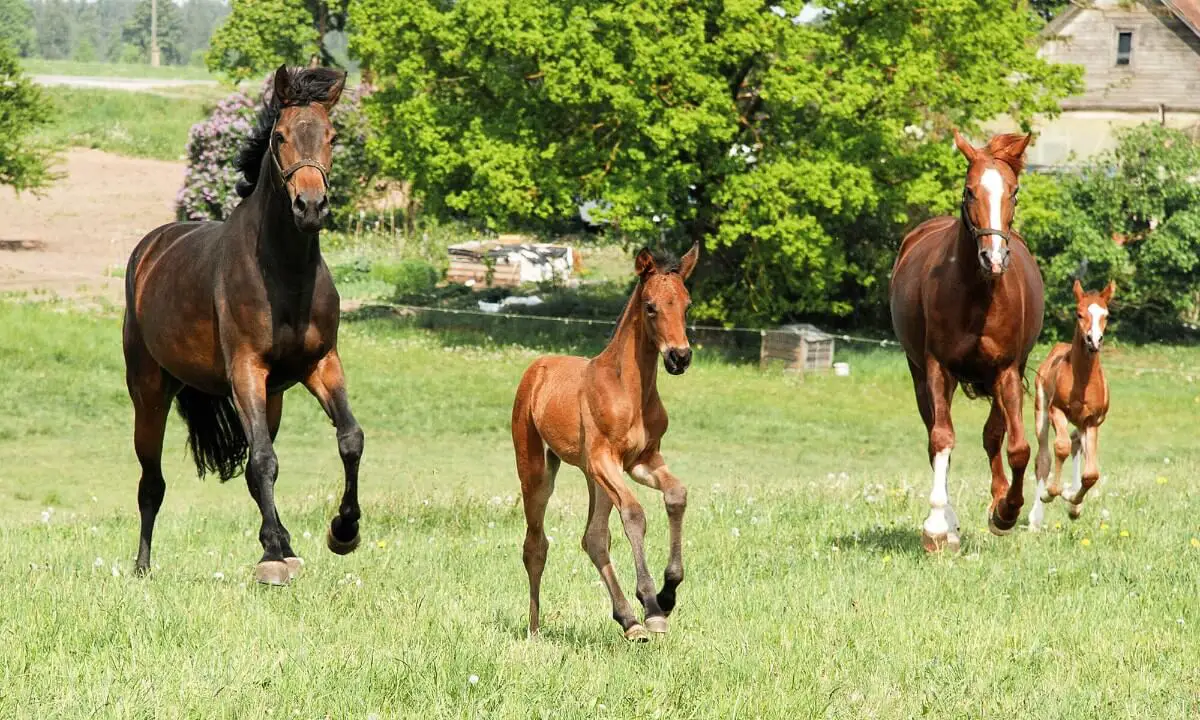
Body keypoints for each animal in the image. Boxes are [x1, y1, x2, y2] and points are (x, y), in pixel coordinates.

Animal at [125, 66, 364, 585]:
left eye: (333, 137)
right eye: (279, 137)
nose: (310, 206)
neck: (284, 274)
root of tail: (151, 250)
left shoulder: (321, 365)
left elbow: (349, 440)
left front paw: (343, 531)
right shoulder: (246, 372)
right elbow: (262, 461)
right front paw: (272, 556)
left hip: (272, 398)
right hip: (149, 395)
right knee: (151, 483)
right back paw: (142, 566)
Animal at [511, 243, 700, 643]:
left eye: (687, 305)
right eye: (650, 306)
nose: (679, 357)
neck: (629, 389)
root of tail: (537, 368)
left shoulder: (642, 461)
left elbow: (676, 496)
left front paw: (667, 595)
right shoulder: (606, 460)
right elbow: (635, 515)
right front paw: (651, 605)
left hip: (592, 477)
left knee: (594, 538)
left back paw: (629, 621)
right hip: (537, 470)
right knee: (535, 544)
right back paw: (534, 629)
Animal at [888, 132, 1046, 554]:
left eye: (1014, 191)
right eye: (969, 190)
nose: (994, 257)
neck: (978, 292)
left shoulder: (1007, 371)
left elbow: (1016, 446)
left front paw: (1006, 512)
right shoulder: (937, 368)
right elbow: (942, 439)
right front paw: (937, 527)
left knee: (994, 436)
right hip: (919, 376)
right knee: (934, 436)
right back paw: (950, 524)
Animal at [1027, 280, 1118, 528]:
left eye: (1106, 315)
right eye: (1079, 313)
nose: (1094, 340)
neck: (1082, 380)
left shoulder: (1092, 421)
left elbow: (1091, 474)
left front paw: (1073, 502)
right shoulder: (1056, 410)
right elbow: (1060, 447)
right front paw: (1051, 493)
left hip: (1080, 422)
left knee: (1077, 444)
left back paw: (1074, 502)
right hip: (1041, 412)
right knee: (1044, 458)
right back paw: (1036, 517)